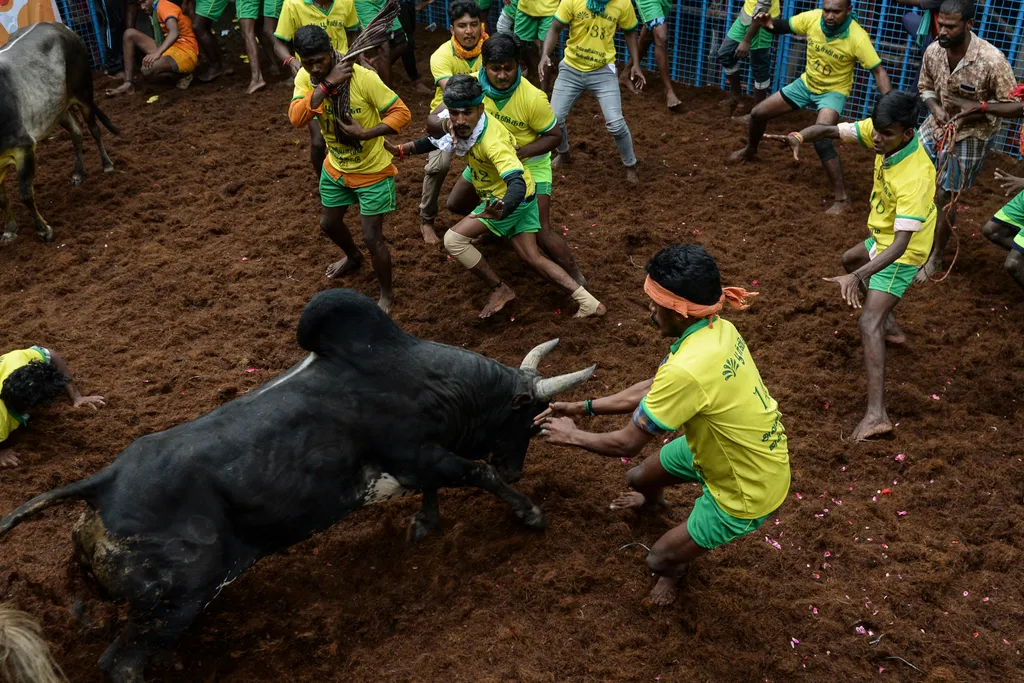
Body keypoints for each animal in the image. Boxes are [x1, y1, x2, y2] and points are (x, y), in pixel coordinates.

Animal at [0, 290, 593, 683]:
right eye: (527, 420)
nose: (518, 469)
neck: (431, 383)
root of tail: (102, 485)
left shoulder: (422, 462)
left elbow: (435, 490)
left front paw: (426, 523)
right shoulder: (421, 454)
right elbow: (476, 473)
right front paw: (528, 512)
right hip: (176, 602)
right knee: (120, 664)